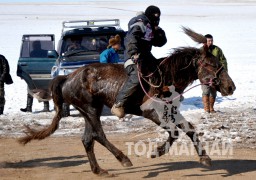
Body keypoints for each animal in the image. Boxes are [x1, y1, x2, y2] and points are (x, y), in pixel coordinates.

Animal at [18, 27, 236, 176]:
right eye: (212, 64)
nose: (231, 87)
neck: (166, 77)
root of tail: (68, 77)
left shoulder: (172, 111)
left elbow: (188, 129)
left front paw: (205, 157)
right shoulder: (152, 113)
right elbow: (174, 132)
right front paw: (157, 152)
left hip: (90, 110)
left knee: (88, 139)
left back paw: (99, 170)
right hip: (90, 109)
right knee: (99, 135)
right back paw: (123, 159)